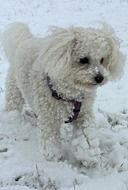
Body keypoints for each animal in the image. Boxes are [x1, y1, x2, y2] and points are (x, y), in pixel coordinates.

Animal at [3, 23, 125, 166]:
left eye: (102, 60)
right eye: (83, 59)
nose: (100, 78)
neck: (70, 94)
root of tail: (26, 40)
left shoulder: (84, 113)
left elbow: (86, 135)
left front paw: (88, 155)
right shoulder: (48, 118)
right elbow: (50, 138)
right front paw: (52, 156)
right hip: (14, 91)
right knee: (13, 105)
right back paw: (13, 119)